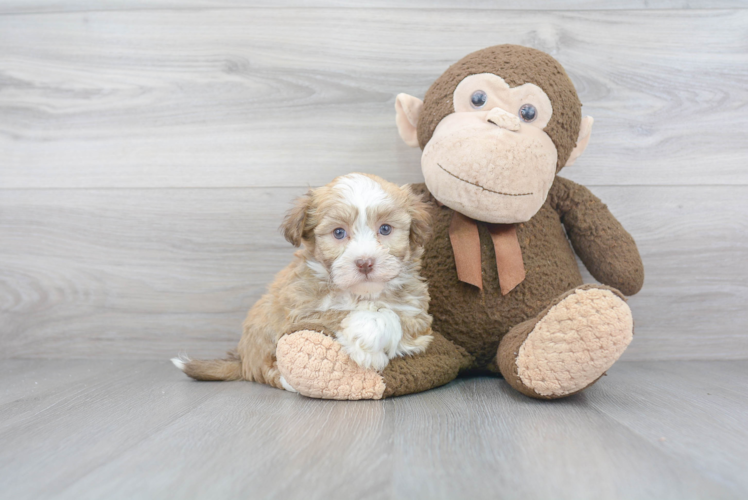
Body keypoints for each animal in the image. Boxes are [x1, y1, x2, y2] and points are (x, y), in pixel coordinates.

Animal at [171, 173, 432, 390]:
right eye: (339, 233)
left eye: (385, 229)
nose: (365, 262)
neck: (362, 293)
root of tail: (242, 359)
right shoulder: (303, 312)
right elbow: (339, 313)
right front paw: (365, 343)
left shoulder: (417, 315)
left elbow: (393, 314)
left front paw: (368, 337)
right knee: (267, 370)